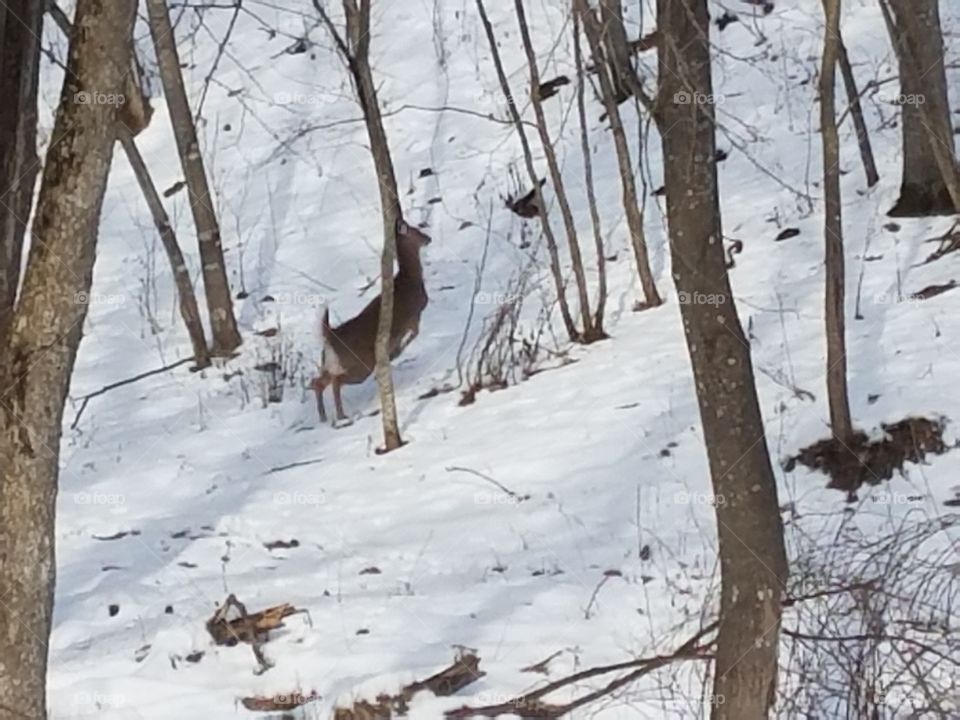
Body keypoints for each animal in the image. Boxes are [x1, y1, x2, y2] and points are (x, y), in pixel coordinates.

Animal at [310, 219, 431, 424]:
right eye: (416, 231)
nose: (428, 238)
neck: (409, 278)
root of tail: (330, 335)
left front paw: (394, 353)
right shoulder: (413, 315)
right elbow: (414, 334)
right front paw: (396, 352)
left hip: (328, 364)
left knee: (317, 382)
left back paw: (324, 417)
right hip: (361, 364)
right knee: (336, 382)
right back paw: (341, 415)